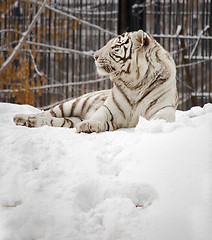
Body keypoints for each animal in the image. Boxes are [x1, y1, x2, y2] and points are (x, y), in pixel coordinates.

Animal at [14, 30, 178, 133]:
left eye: (115, 46)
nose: (94, 56)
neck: (134, 85)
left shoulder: (165, 109)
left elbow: (159, 118)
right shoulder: (109, 109)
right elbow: (99, 116)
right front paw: (88, 125)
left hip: (71, 119)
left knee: (56, 120)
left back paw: (31, 121)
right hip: (73, 104)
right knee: (47, 113)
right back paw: (22, 117)